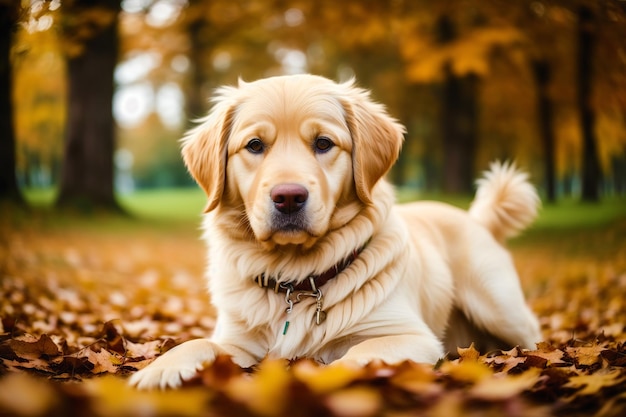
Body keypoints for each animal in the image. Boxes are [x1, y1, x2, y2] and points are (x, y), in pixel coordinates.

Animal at [129, 73, 540, 388]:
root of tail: (475, 218)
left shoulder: (411, 336)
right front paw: (160, 370)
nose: (289, 197)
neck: (296, 278)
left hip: (497, 305)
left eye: (323, 143)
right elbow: (197, 343)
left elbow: (357, 354)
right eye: (255, 145)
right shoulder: (236, 340)